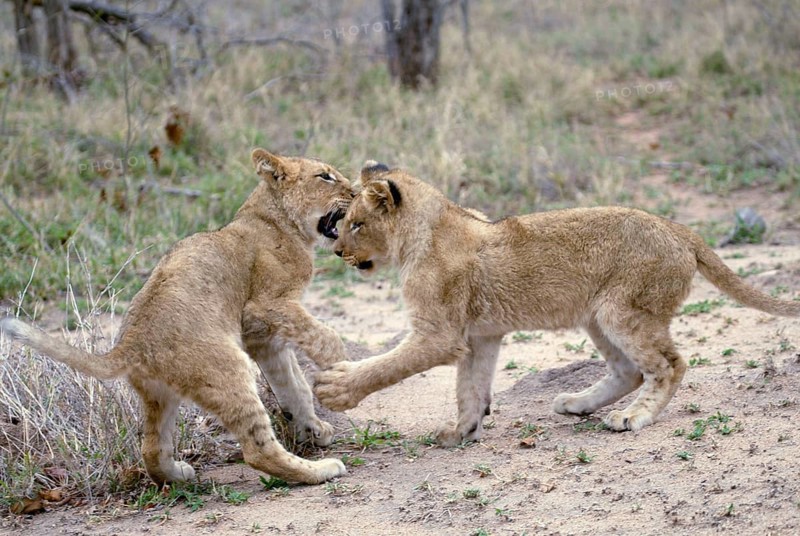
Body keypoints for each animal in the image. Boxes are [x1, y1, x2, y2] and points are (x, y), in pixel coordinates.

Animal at [1, 149, 354, 485]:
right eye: (325, 176)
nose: (355, 191)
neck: (274, 219)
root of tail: (130, 344)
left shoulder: (261, 336)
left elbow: (293, 384)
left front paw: (313, 428)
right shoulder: (264, 306)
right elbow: (323, 338)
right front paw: (340, 365)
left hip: (160, 394)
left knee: (151, 448)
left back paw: (178, 476)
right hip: (229, 366)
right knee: (257, 450)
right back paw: (320, 470)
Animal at [313, 163, 800, 446]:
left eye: (355, 224)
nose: (337, 252)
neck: (425, 232)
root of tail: (679, 229)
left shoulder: (440, 333)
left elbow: (387, 365)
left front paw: (337, 388)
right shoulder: (481, 335)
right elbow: (471, 387)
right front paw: (462, 430)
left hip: (624, 310)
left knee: (670, 365)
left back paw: (632, 418)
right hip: (598, 316)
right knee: (629, 370)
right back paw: (578, 404)